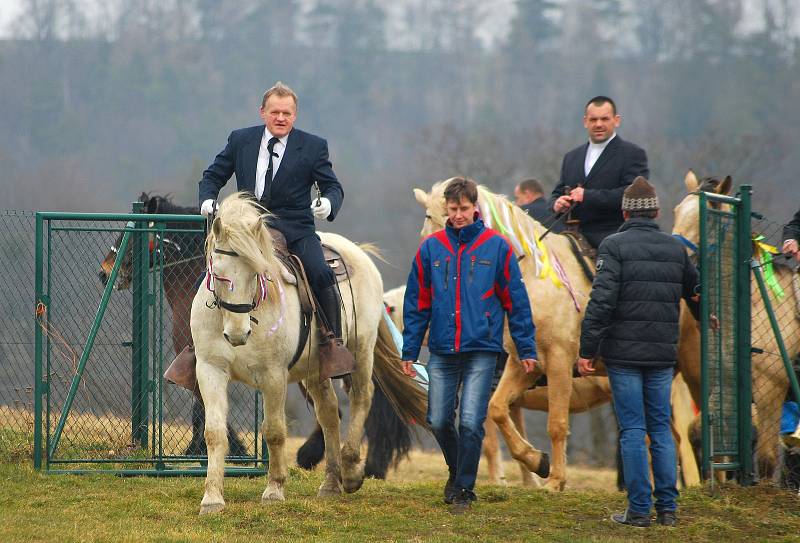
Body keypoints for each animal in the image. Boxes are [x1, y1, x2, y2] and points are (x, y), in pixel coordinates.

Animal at [190, 192, 424, 516]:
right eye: (219, 274)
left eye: (256, 273)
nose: (237, 334)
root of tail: (358, 252)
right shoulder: (210, 369)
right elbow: (213, 432)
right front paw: (212, 498)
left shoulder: (273, 375)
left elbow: (274, 431)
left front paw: (274, 489)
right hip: (317, 371)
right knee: (329, 413)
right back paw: (331, 482)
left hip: (361, 350)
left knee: (362, 397)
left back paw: (351, 470)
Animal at [672, 171, 796, 480]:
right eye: (677, 211)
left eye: (705, 217)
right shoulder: (708, 384)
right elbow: (702, 435)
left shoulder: (770, 390)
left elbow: (765, 459)